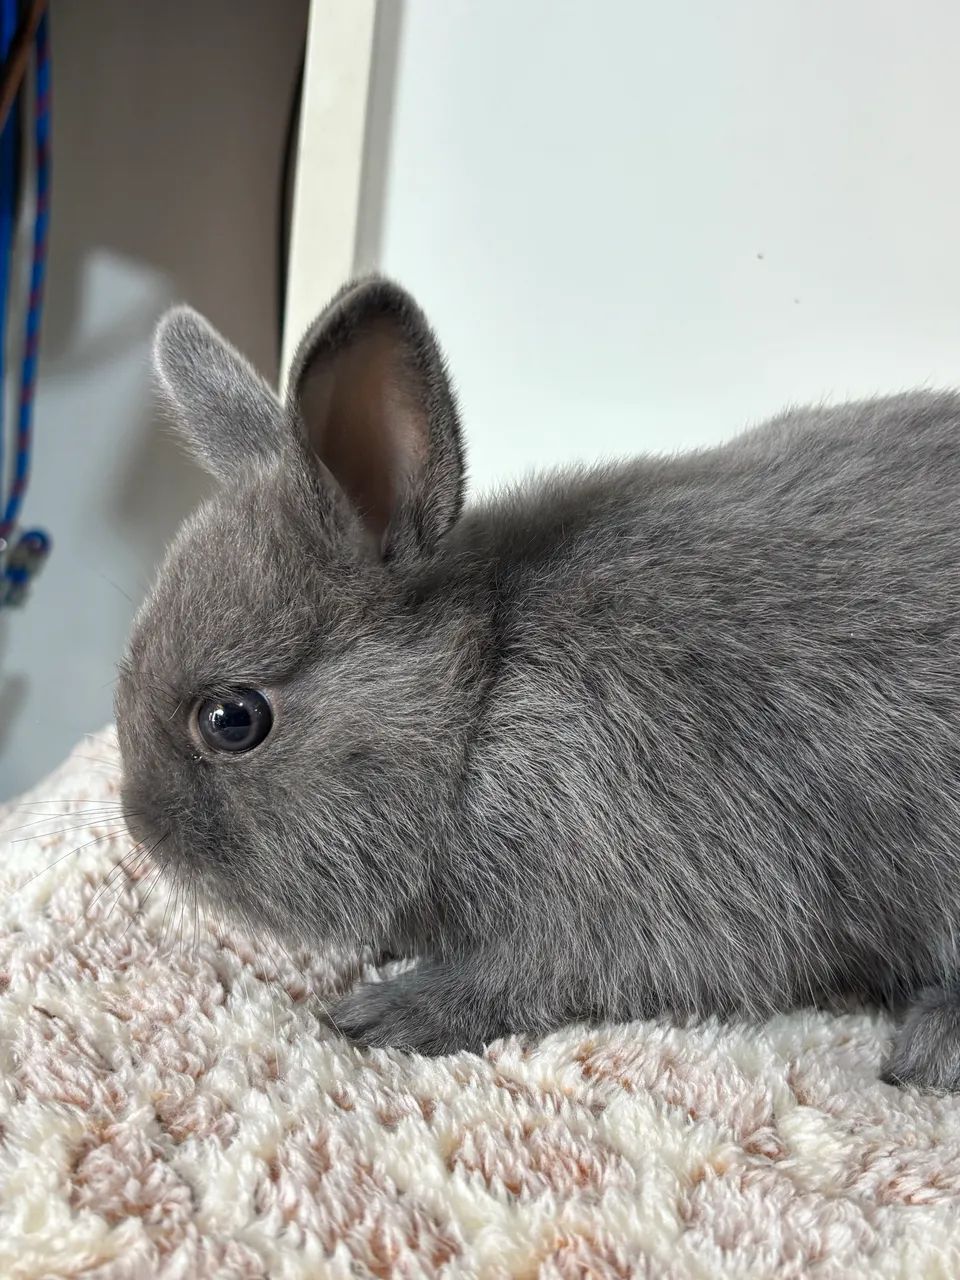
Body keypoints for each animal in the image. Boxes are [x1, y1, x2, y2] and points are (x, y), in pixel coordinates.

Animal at [115, 275, 960, 1090]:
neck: (481, 701)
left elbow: (527, 976)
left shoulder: (639, 893)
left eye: (232, 719)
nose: (140, 829)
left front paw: (386, 1014)